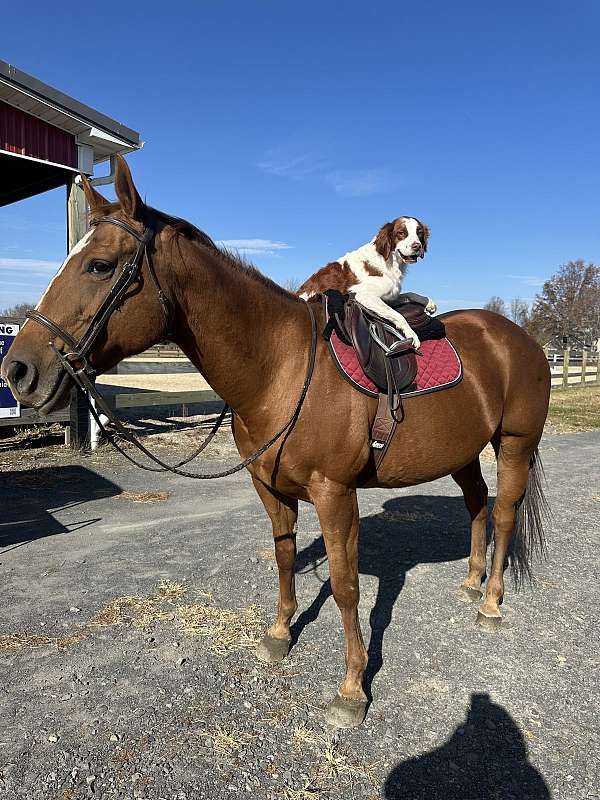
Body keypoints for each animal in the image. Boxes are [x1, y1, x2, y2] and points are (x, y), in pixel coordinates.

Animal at [298, 217, 436, 348]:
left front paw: (429, 303)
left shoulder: (389, 296)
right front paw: (412, 335)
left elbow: (409, 294)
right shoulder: (365, 295)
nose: (417, 246)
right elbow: (398, 315)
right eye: (401, 233)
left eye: (419, 233)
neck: (387, 260)